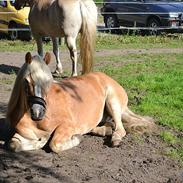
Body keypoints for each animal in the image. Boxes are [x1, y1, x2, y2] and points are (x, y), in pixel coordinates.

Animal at [6, 53, 155, 153]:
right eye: (27, 82)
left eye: (48, 82)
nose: (38, 112)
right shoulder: (22, 135)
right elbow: (13, 144)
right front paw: (41, 141)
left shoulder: (67, 126)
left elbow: (54, 144)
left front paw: (75, 138)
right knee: (106, 125)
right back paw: (104, 129)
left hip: (113, 102)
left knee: (120, 128)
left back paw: (114, 138)